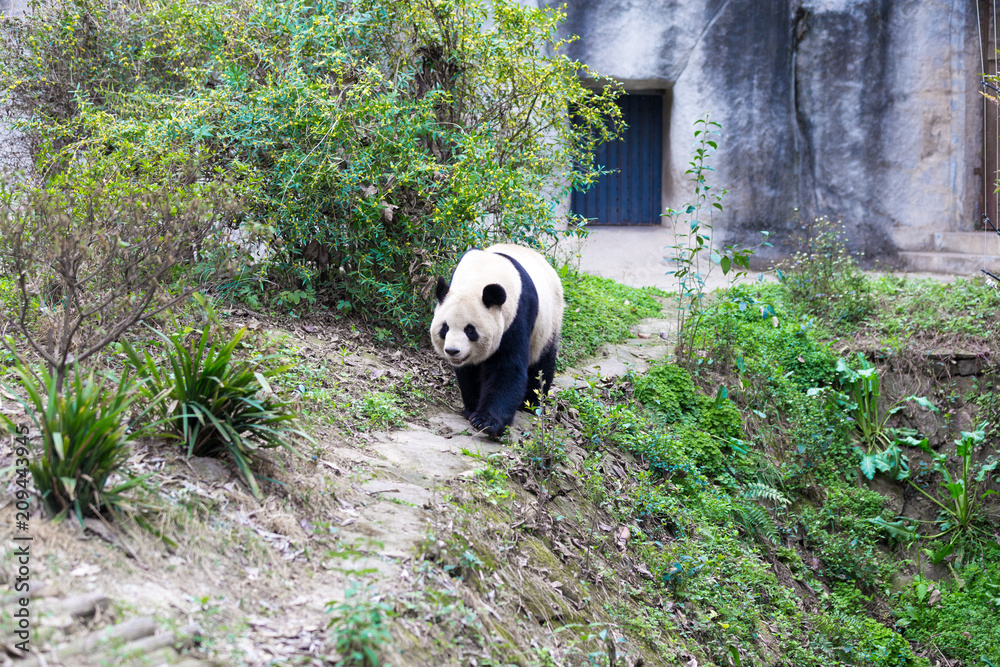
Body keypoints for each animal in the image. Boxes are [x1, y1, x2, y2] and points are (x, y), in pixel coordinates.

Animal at [434, 245, 568, 438]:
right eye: (445, 328)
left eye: (470, 330)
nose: (453, 351)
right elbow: (468, 372)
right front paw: (472, 408)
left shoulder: (516, 316)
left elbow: (507, 368)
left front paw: (486, 422)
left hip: (549, 323)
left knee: (542, 364)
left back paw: (531, 403)